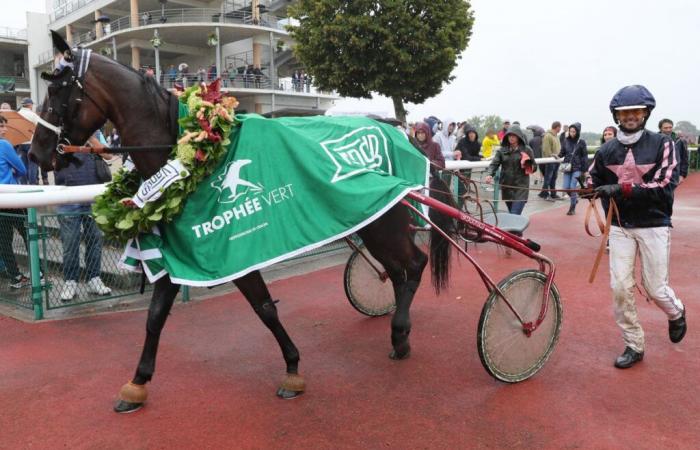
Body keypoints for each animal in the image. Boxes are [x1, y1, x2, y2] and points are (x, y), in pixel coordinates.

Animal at [31, 32, 454, 414]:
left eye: (57, 91)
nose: (36, 154)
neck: (185, 155)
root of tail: (396, 130)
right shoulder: (181, 253)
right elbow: (154, 317)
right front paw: (137, 383)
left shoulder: (232, 251)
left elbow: (265, 308)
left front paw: (292, 369)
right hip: (370, 220)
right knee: (398, 270)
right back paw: (399, 332)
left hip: (383, 221)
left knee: (413, 263)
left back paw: (400, 332)